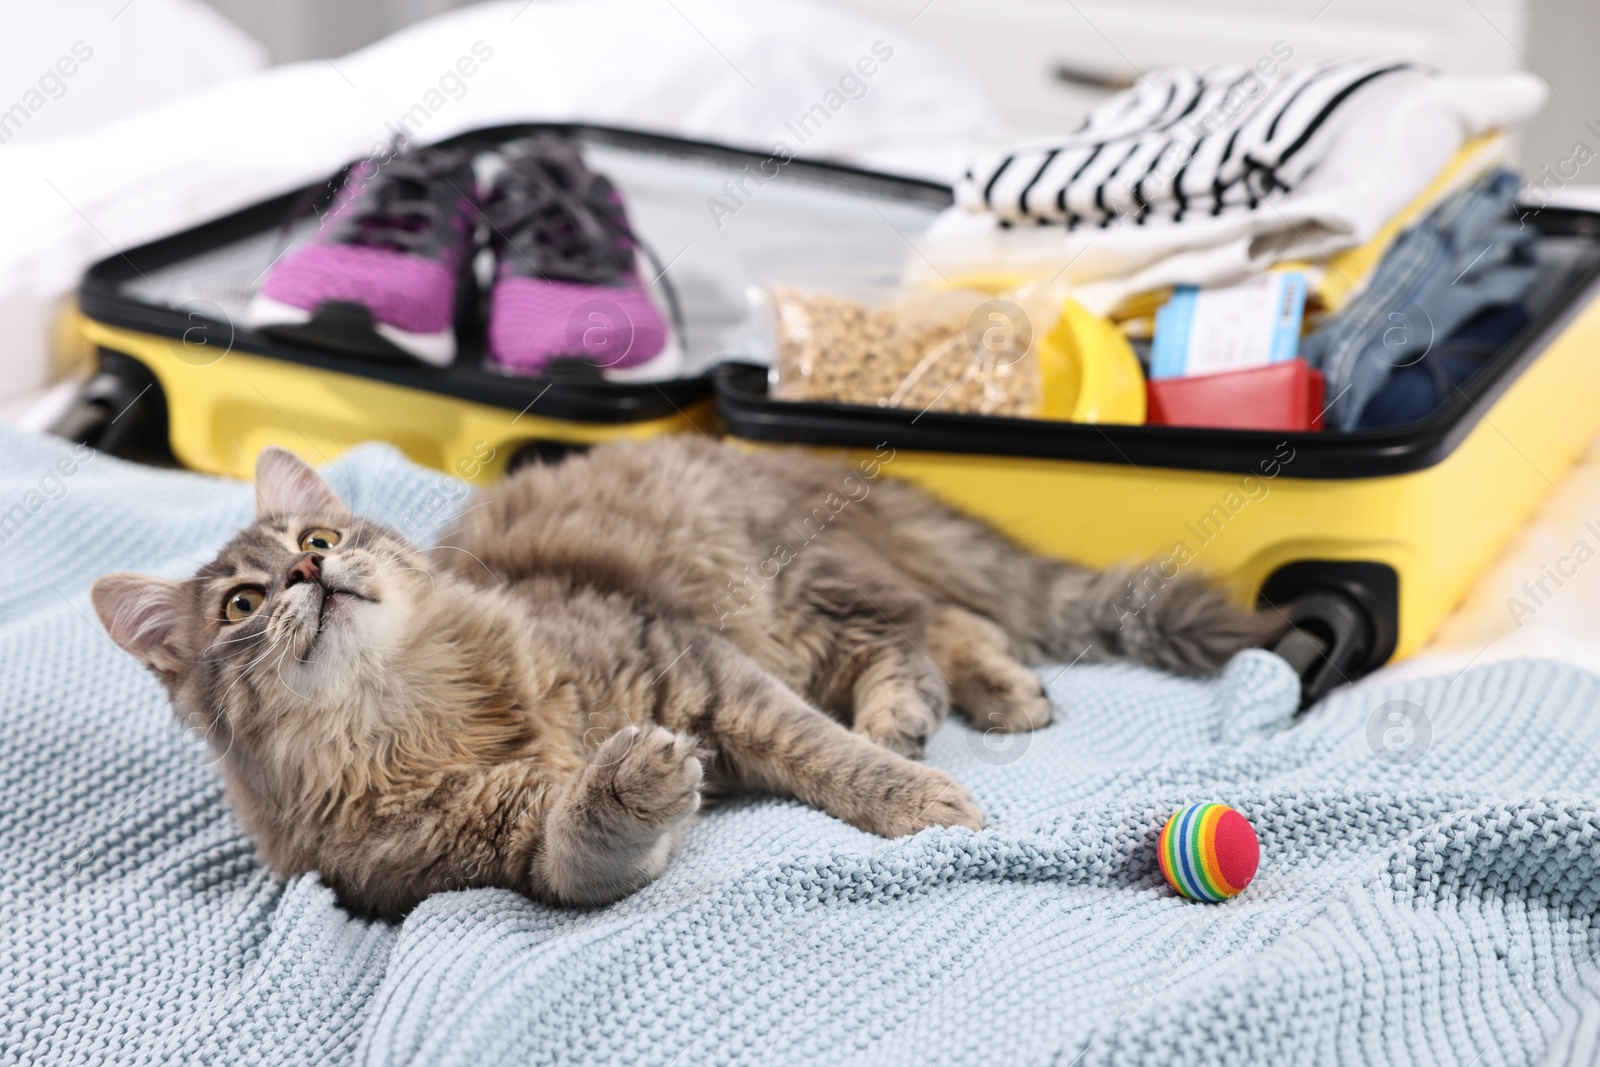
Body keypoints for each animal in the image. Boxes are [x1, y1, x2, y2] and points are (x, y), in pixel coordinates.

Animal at [93, 438, 1280, 921]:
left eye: (318, 536)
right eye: (242, 606)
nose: (307, 572)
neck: (412, 705)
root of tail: (762, 453)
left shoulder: (701, 664)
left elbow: (823, 753)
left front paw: (913, 798)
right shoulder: (488, 855)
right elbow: (585, 837)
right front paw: (635, 780)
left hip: (792, 592)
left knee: (926, 627)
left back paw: (926, 713)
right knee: (943, 620)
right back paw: (972, 696)